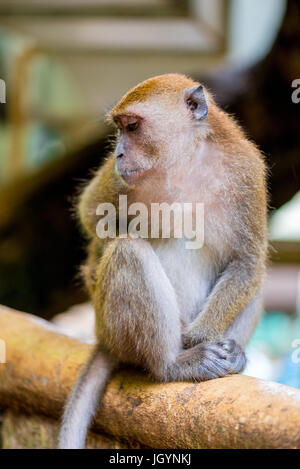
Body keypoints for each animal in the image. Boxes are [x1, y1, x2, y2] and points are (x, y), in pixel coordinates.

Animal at [58, 72, 268, 446]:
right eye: (120, 128)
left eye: (133, 126)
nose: (118, 153)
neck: (185, 164)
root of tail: (103, 338)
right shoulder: (120, 180)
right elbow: (92, 213)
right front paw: (94, 266)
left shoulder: (246, 171)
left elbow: (247, 260)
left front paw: (200, 336)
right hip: (113, 329)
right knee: (128, 250)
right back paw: (171, 364)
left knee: (253, 279)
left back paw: (231, 353)